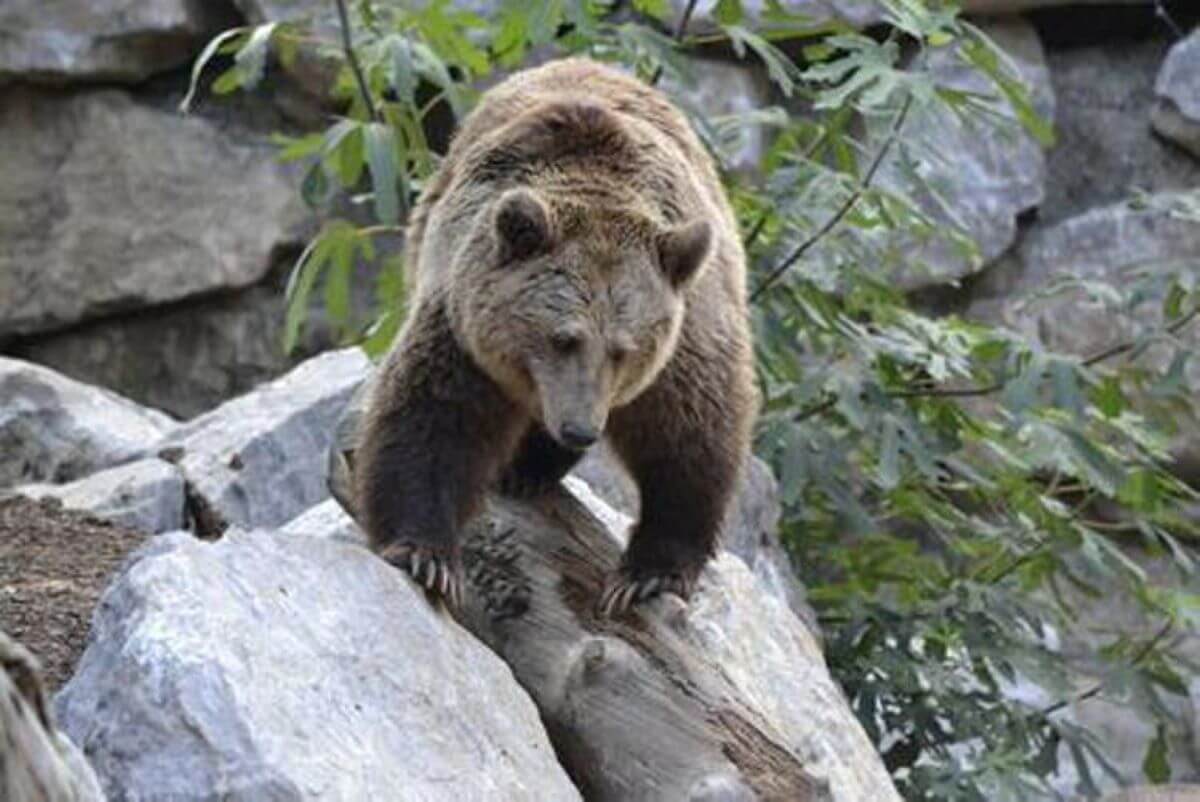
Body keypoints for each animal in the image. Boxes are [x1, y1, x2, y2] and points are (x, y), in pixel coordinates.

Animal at [355, 57, 757, 616]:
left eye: (624, 351)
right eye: (562, 338)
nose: (580, 428)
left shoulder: (686, 336)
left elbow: (691, 437)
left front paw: (648, 574)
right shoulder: (462, 322)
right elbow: (430, 417)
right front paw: (425, 556)